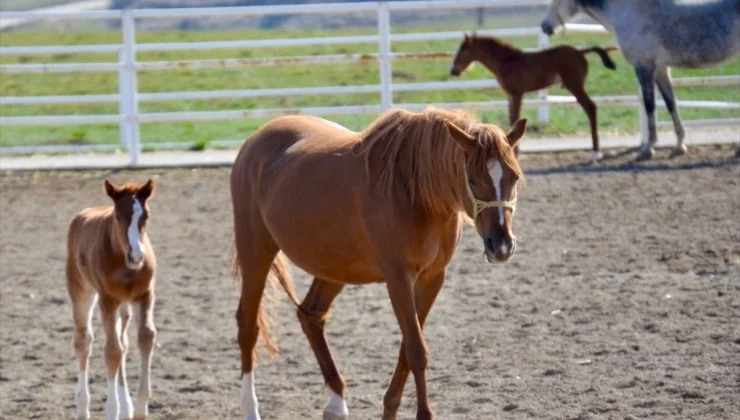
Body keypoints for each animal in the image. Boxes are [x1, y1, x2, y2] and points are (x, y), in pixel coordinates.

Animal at [68, 178, 158, 420]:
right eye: (118, 216)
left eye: (146, 216)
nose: (136, 256)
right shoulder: (107, 300)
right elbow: (111, 351)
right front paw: (111, 409)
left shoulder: (144, 295)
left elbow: (145, 338)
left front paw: (140, 408)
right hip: (81, 290)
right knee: (84, 341)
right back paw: (82, 408)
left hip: (124, 306)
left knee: (122, 341)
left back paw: (126, 407)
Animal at [231, 108, 528, 420]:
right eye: (472, 179)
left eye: (514, 177)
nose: (501, 245)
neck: (416, 192)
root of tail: (256, 139)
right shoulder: (398, 278)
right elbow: (416, 350)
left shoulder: (433, 278)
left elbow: (407, 349)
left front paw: (390, 409)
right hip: (256, 251)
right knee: (248, 326)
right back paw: (250, 408)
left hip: (335, 265)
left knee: (310, 315)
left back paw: (336, 402)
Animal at [450, 33, 620, 162]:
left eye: (463, 50)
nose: (453, 70)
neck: (507, 61)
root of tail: (581, 51)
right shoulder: (510, 95)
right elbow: (512, 118)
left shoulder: (517, 93)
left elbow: (515, 118)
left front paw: (515, 152)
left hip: (574, 85)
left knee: (591, 107)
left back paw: (595, 153)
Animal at [540, 0, 736, 161]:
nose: (544, 26)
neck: (630, 12)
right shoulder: (660, 69)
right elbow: (671, 103)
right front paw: (680, 146)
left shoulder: (644, 67)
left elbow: (650, 106)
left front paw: (648, 149)